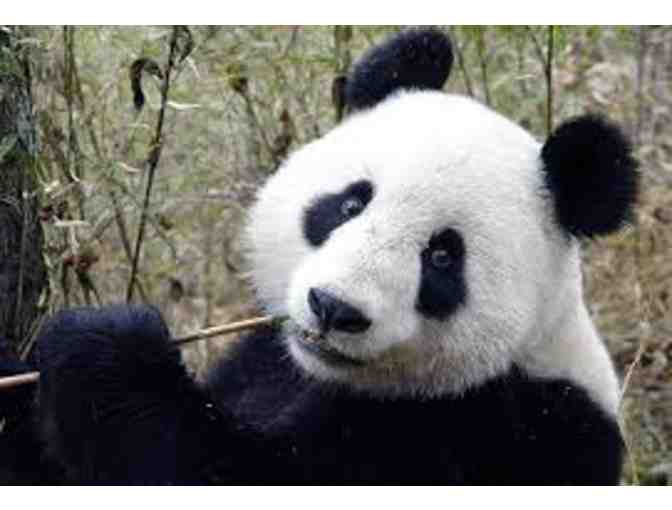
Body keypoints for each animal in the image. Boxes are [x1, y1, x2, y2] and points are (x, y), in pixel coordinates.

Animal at [0, 28, 637, 485]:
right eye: (351, 202)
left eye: (441, 258)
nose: (334, 308)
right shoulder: (265, 358)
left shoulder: (488, 433)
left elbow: (221, 472)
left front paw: (103, 345)